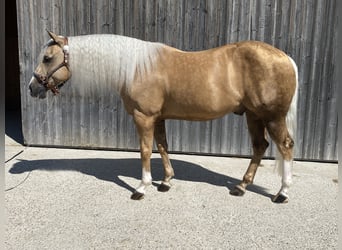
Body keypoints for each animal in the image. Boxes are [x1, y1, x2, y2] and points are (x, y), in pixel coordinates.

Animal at [28, 31, 296, 203]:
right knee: (260, 146)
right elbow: (163, 146)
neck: (135, 67)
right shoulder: (158, 118)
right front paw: (166, 182)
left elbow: (145, 150)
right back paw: (241, 187)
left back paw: (282, 193)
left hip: (272, 117)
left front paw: (142, 187)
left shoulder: (144, 117)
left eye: (47, 58)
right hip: (254, 116)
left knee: (285, 147)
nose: (32, 88)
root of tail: (285, 58)